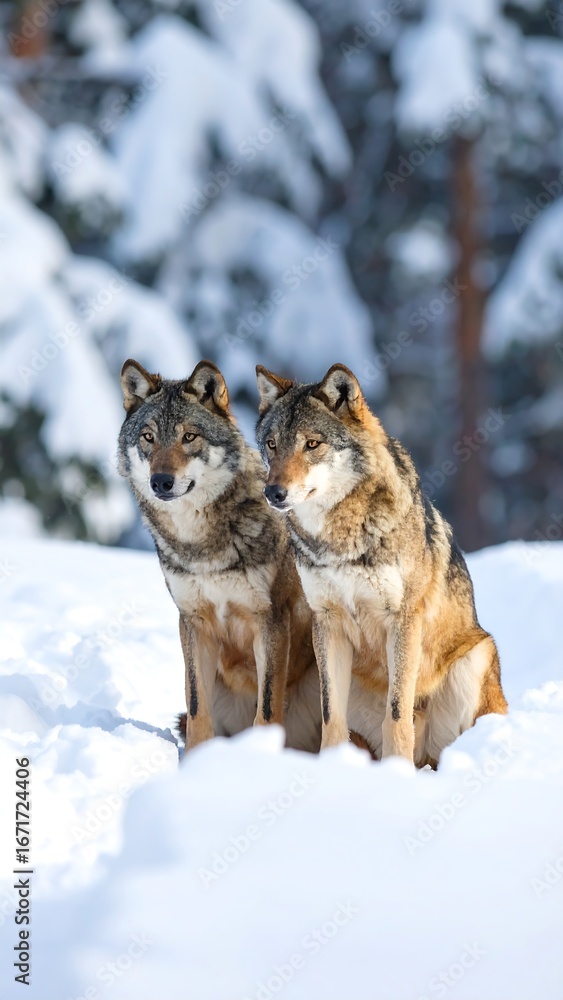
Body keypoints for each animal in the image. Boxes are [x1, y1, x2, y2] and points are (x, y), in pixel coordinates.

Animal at [118, 358, 321, 752]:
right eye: (148, 437)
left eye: (189, 437)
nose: (161, 481)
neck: (203, 547)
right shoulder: (193, 622)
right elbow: (198, 707)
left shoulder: (271, 620)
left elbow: (267, 709)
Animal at [255, 363, 508, 766]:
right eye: (272, 444)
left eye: (312, 444)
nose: (273, 492)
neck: (340, 541)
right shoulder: (328, 622)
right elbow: (331, 716)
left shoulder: (403, 620)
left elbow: (397, 714)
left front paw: (395, 773)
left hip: (477, 657)